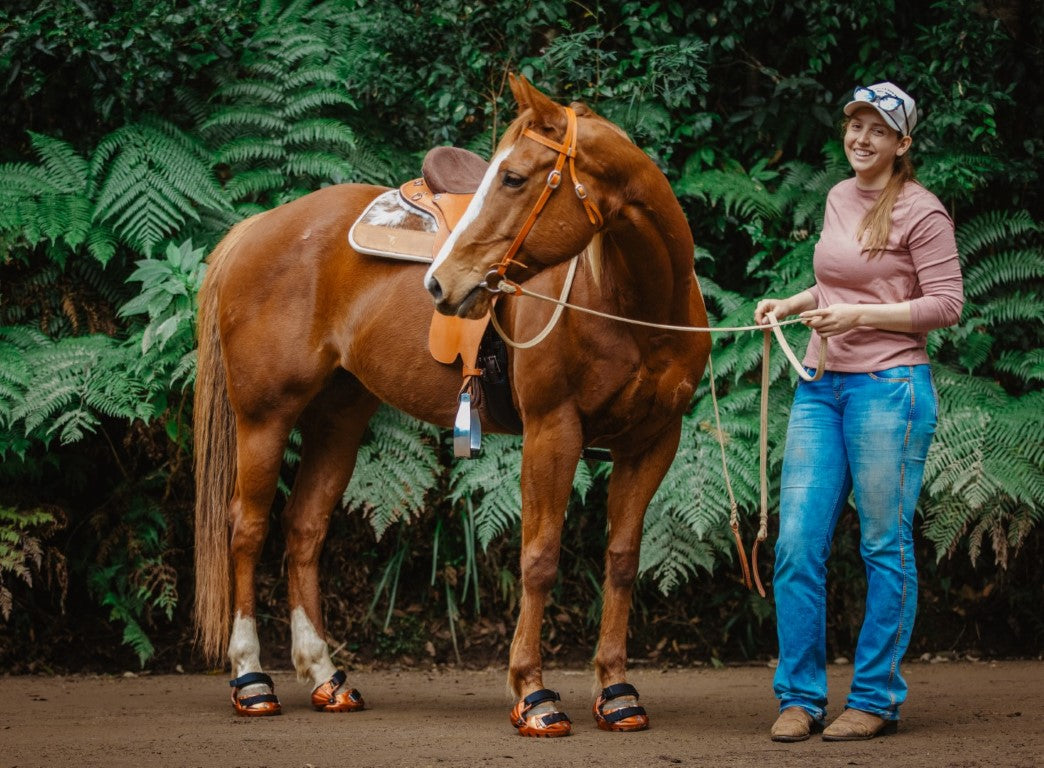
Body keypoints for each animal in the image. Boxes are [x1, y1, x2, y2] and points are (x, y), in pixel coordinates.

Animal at [194, 75, 709, 734]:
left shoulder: (653, 441)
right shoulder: (554, 431)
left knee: (304, 527)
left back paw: (325, 675)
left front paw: (616, 689)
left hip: (338, 418)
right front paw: (533, 692)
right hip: (264, 417)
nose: (440, 283)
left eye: (513, 177)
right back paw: (251, 678)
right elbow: (539, 558)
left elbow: (621, 559)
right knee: (247, 529)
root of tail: (257, 226)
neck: (634, 303)